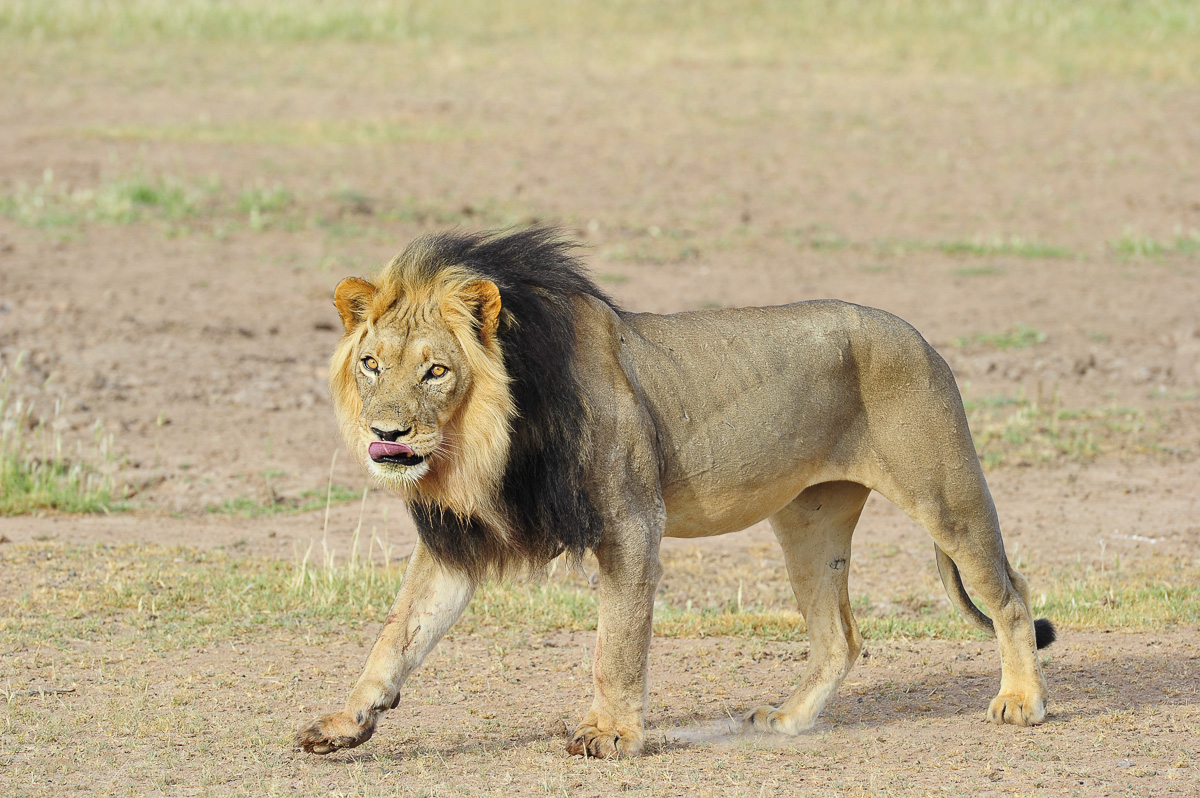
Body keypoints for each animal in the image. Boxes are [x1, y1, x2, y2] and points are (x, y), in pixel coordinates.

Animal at [295, 228, 1055, 758]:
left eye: (436, 372)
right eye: (371, 364)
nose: (387, 435)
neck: (486, 442)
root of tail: (920, 336)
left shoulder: (633, 522)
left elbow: (618, 643)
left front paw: (611, 734)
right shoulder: (458, 544)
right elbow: (398, 634)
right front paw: (346, 722)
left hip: (946, 494)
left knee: (1010, 596)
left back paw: (1022, 702)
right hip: (808, 522)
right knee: (840, 637)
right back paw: (788, 721)